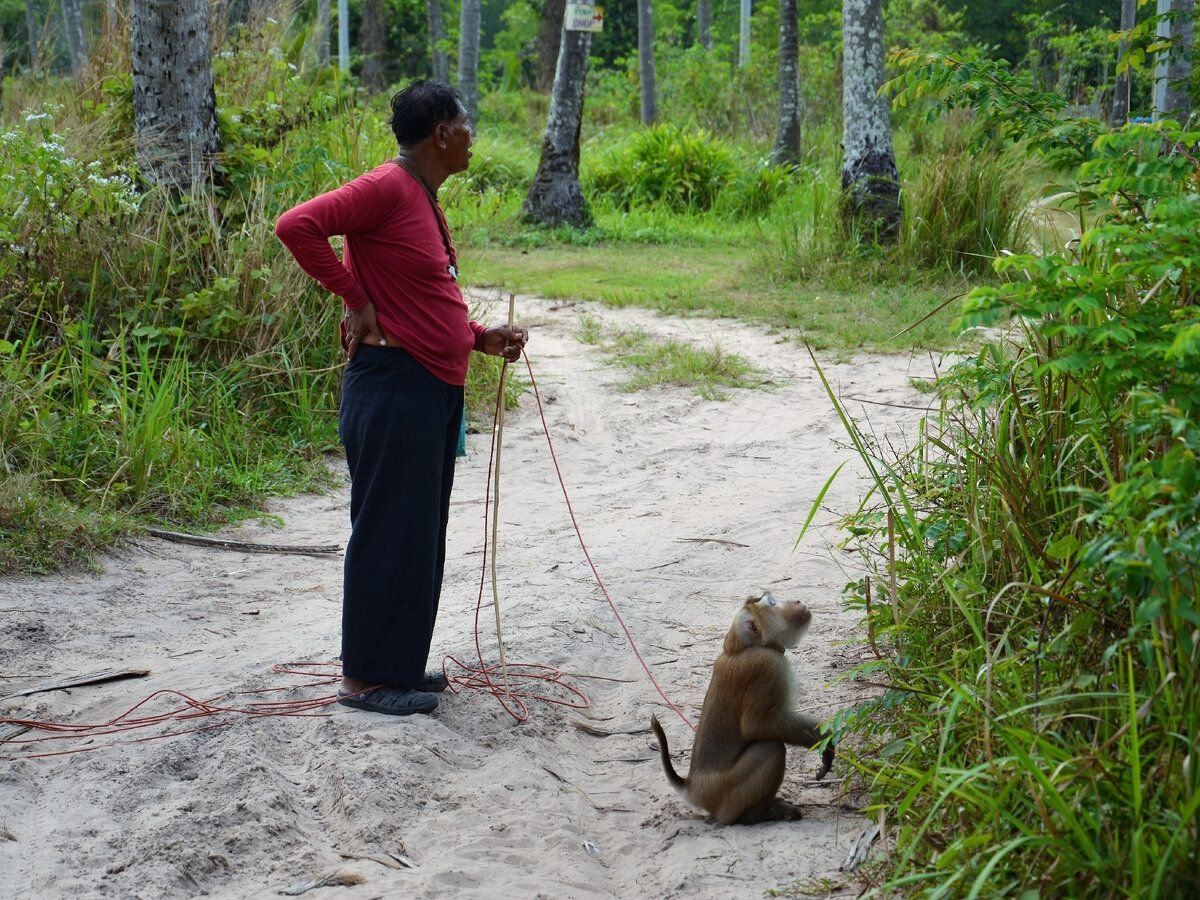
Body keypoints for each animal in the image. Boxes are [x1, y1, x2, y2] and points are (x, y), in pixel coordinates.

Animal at [648, 595, 835, 830]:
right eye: (772, 603)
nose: (797, 601)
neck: (740, 648)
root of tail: (691, 787)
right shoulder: (768, 666)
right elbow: (758, 725)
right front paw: (824, 739)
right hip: (726, 793)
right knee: (771, 748)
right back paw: (755, 815)